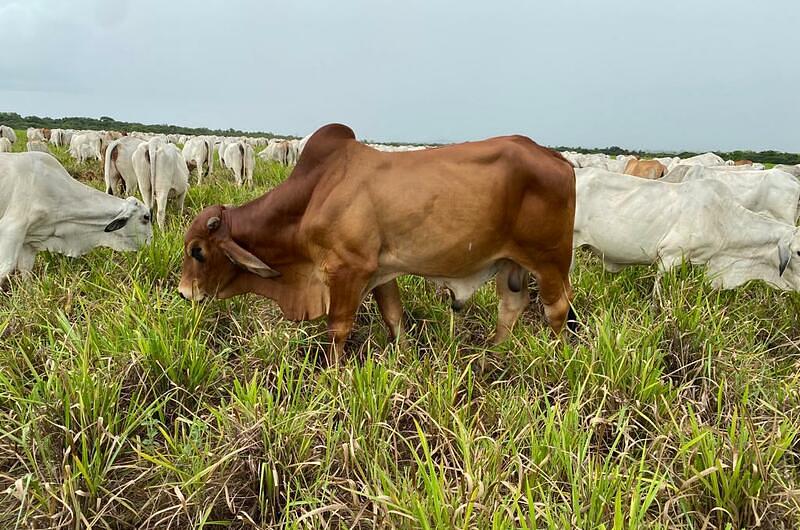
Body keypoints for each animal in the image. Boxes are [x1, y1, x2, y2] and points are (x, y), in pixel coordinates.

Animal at [0, 152, 152, 284]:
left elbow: (26, 272)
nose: (151, 244)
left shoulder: (29, 242)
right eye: (146, 217)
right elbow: (5, 269)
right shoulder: (12, 229)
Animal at [177, 122, 576, 358]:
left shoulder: (347, 269)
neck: (314, 195)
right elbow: (394, 317)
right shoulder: (381, 272)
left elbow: (338, 328)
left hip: (549, 261)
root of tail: (556, 158)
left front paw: (334, 376)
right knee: (513, 304)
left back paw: (555, 357)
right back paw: (491, 352)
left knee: (556, 310)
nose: (183, 294)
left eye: (198, 251)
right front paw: (404, 357)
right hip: (511, 263)